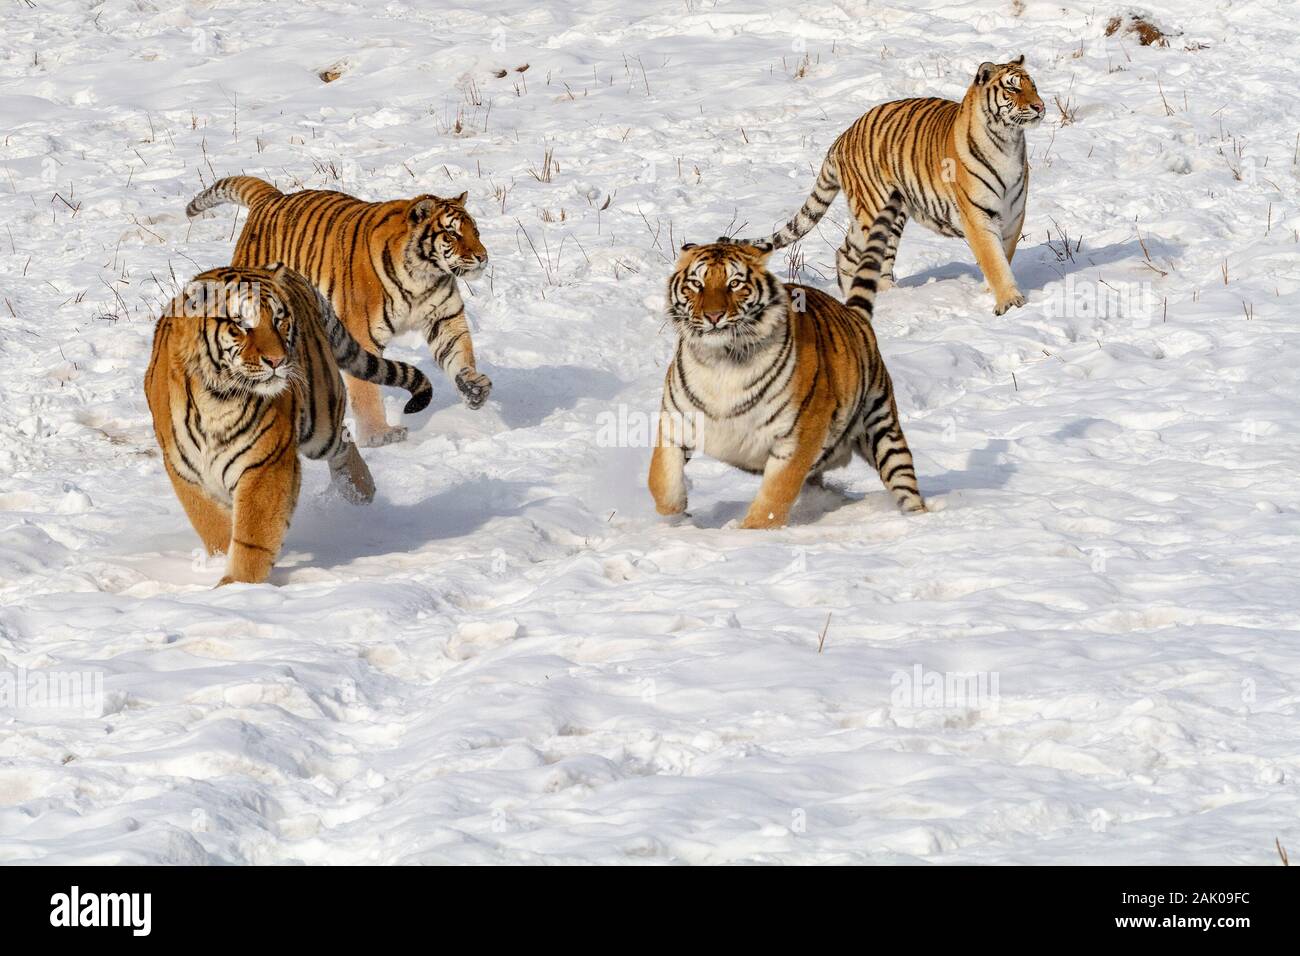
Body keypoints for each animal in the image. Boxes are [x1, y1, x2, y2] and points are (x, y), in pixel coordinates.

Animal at [145, 265, 431, 587]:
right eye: (241, 324)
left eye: (279, 320)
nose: (277, 361)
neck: (219, 397)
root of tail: (280, 268)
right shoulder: (185, 470)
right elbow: (211, 524)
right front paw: (220, 566)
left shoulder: (265, 463)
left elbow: (252, 539)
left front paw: (236, 585)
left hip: (321, 419)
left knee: (343, 443)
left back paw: (361, 490)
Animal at [189, 178, 493, 447]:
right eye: (452, 234)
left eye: (476, 231)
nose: (483, 257)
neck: (424, 276)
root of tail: (271, 197)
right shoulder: (362, 334)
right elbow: (366, 389)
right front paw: (378, 435)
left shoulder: (445, 318)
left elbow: (460, 353)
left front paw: (473, 389)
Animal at [650, 199, 925, 530]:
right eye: (696, 284)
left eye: (734, 284)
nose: (713, 316)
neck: (722, 360)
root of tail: (853, 313)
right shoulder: (675, 422)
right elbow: (662, 480)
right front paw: (675, 518)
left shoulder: (797, 437)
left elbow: (775, 496)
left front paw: (748, 533)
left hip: (882, 426)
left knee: (904, 480)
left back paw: (919, 518)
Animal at [743, 55, 1045, 316]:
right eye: (1013, 88)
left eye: (1033, 85)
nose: (1040, 107)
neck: (1008, 142)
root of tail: (844, 135)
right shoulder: (978, 216)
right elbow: (994, 260)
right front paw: (1009, 302)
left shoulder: (1013, 214)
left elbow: (1004, 255)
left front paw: (990, 292)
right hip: (876, 209)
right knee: (863, 256)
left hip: (882, 212)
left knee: (848, 252)